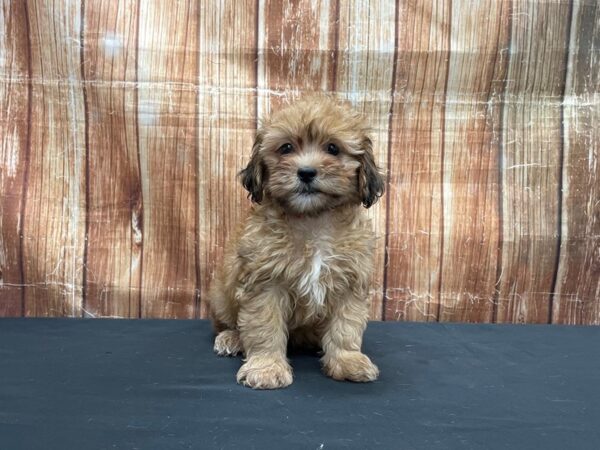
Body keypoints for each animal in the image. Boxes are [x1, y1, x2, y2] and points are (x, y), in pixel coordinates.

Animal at [207, 96, 384, 390]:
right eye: (286, 148)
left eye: (333, 148)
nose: (306, 172)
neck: (312, 220)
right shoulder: (265, 284)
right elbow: (264, 327)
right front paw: (266, 368)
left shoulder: (350, 283)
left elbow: (346, 327)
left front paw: (347, 361)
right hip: (221, 294)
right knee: (226, 322)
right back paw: (231, 338)